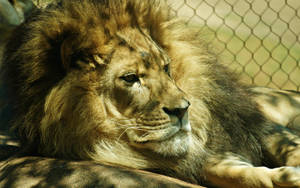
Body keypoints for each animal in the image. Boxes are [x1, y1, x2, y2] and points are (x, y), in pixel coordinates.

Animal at [1, 0, 300, 187]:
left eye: (166, 68)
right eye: (130, 79)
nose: (183, 109)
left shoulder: (260, 126)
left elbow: (288, 145)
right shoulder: (199, 160)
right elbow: (228, 171)